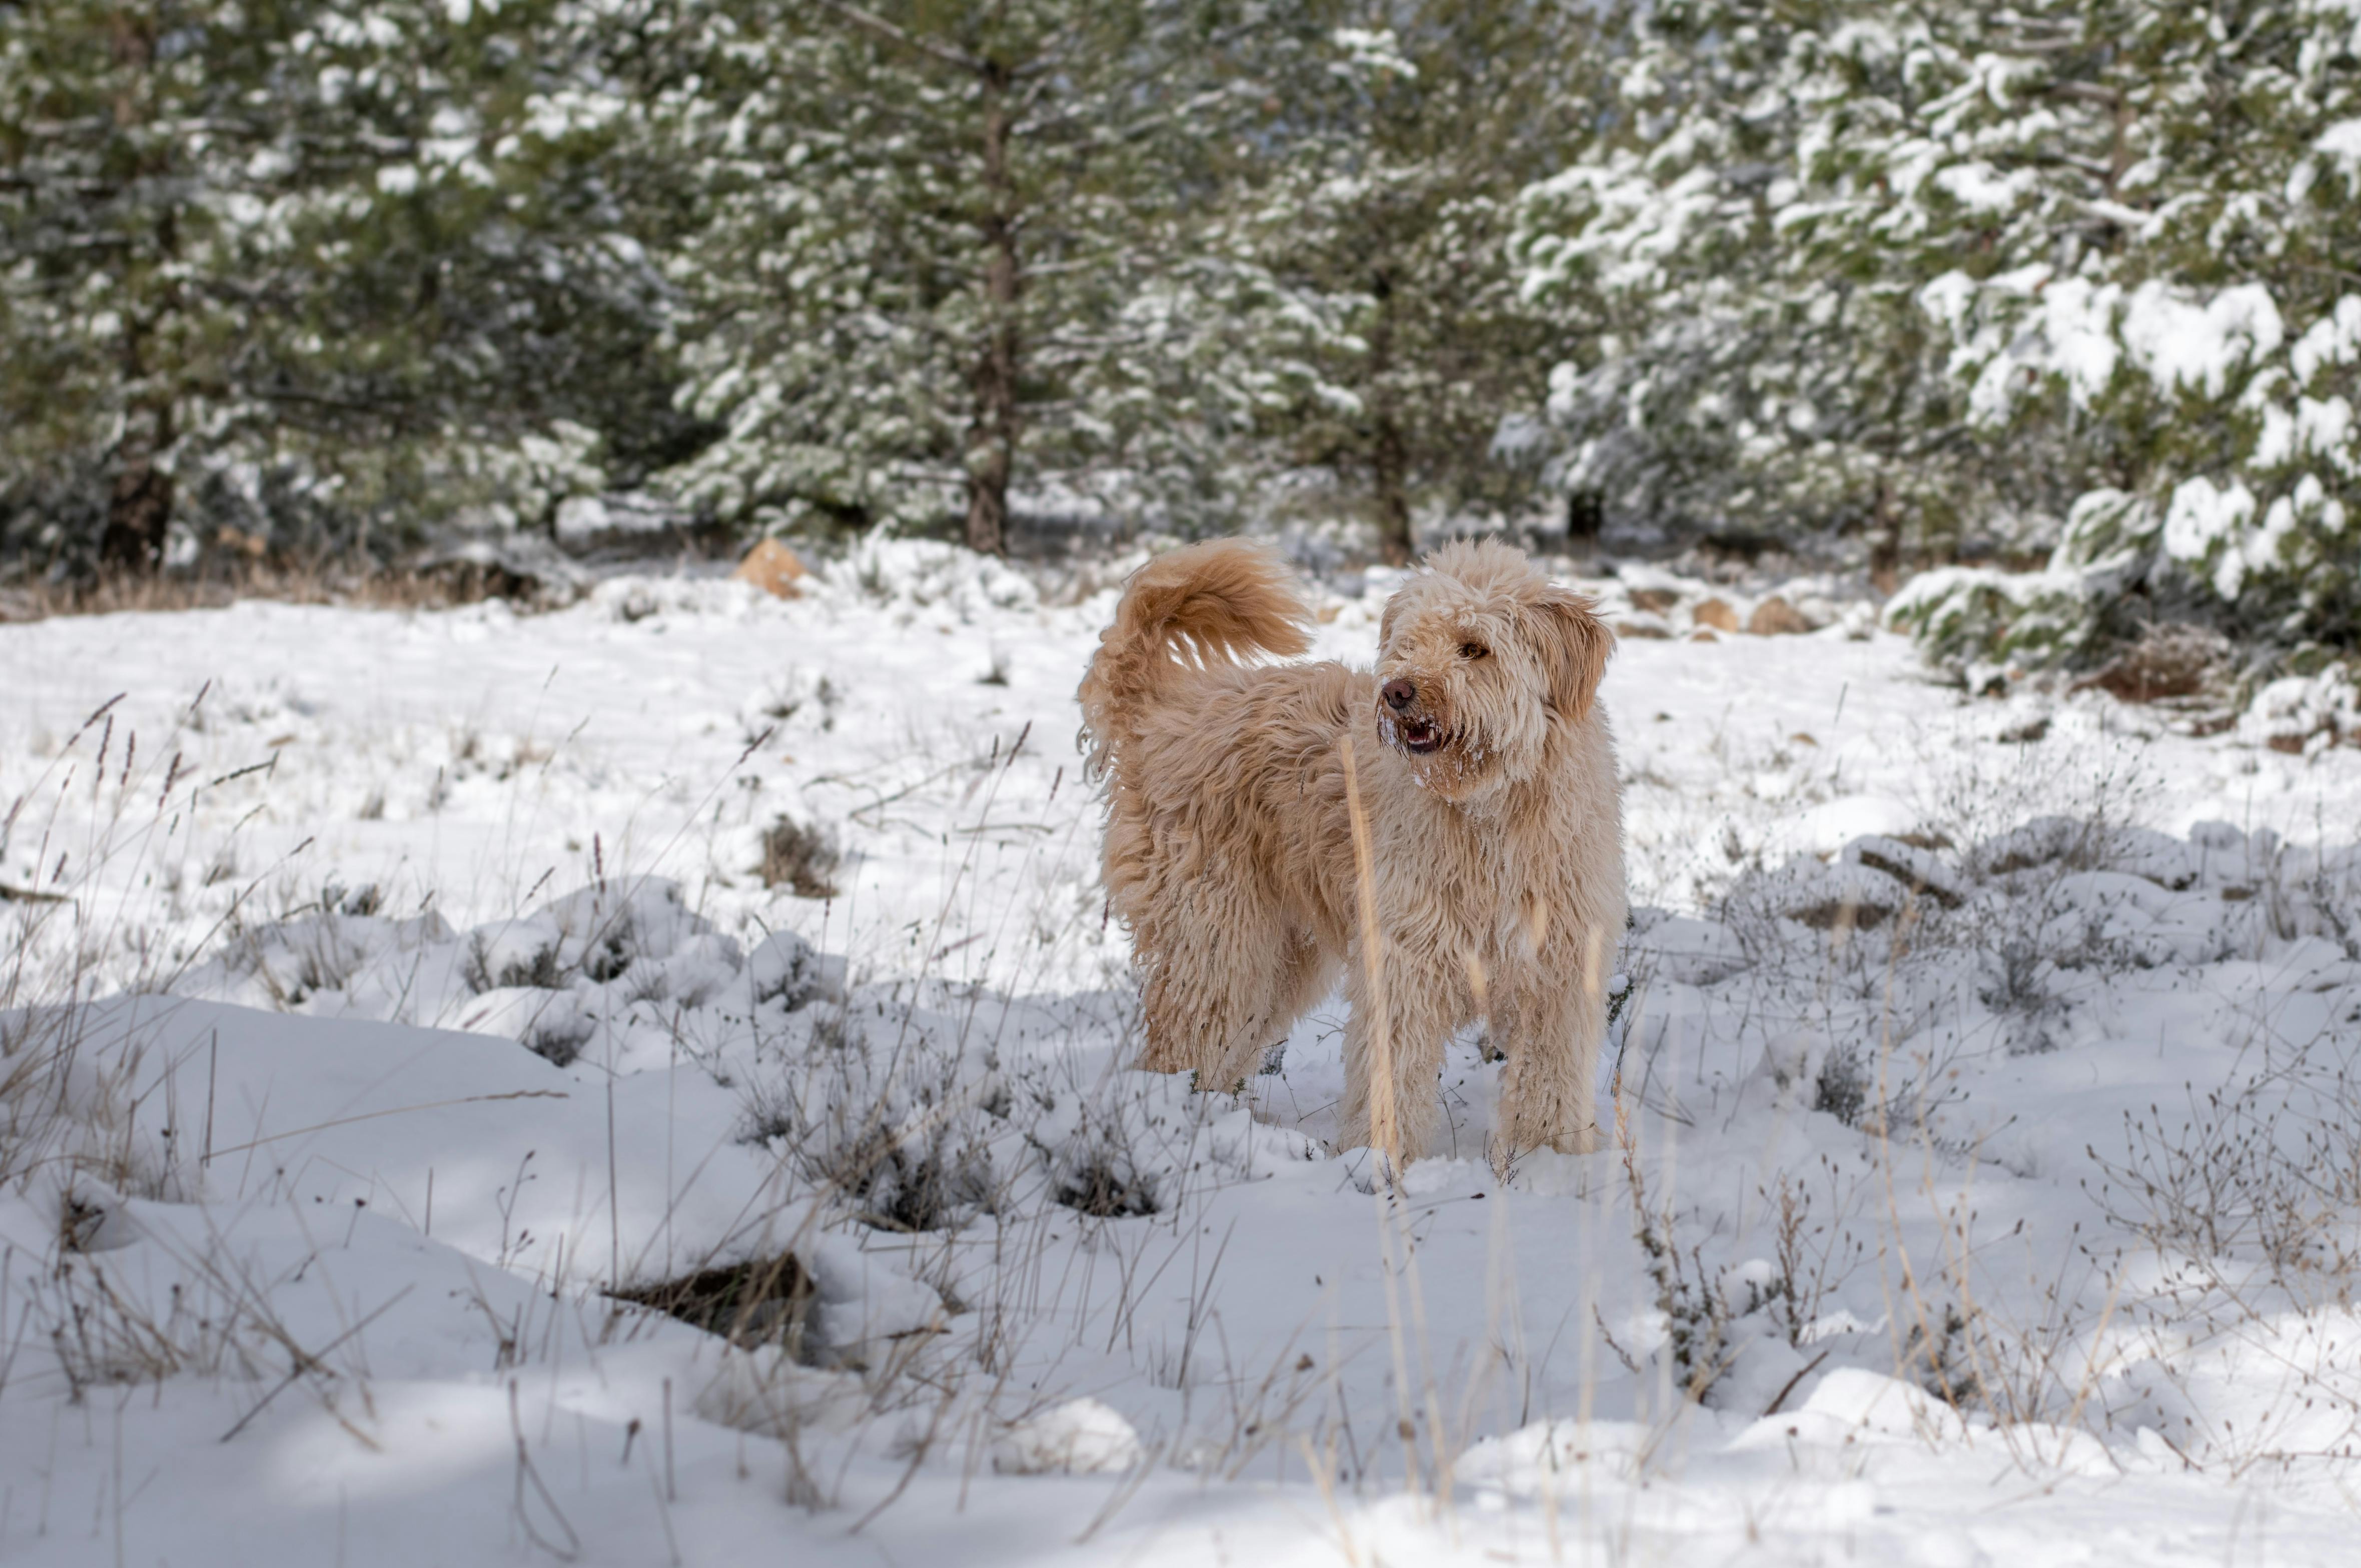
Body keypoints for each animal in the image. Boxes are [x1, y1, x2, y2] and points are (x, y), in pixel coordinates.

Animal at [1081, 538, 1624, 1161]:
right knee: (1183, 1039)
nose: (1398, 691)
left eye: (1475, 648)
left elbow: (1550, 1081)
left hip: (1278, 958)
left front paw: (1551, 1159)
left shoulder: (1561, 973)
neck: (1488, 811)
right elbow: (1395, 1073)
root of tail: (1159, 714)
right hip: (1216, 938)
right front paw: (1382, 1160)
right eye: (1407, 644)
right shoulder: (1404, 959)